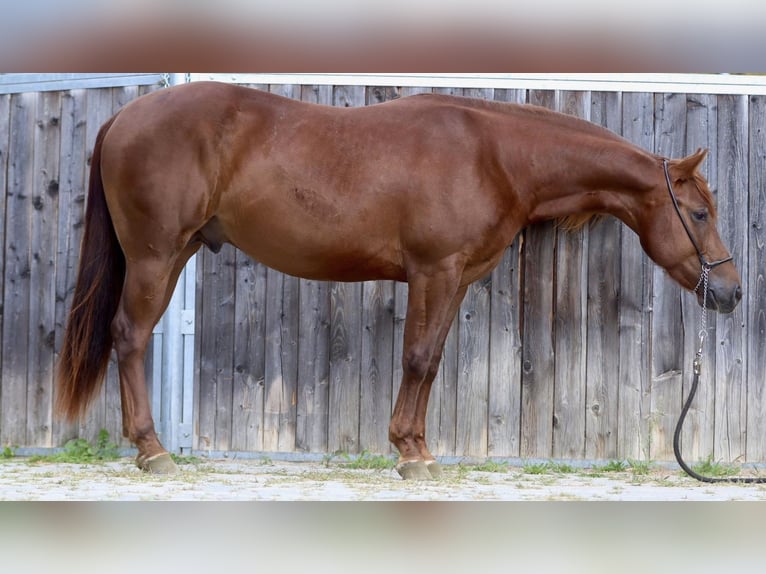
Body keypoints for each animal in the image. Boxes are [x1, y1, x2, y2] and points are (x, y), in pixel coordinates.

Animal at [55, 81, 742, 479]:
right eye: (699, 213)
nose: (731, 292)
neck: (495, 156)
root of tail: (125, 115)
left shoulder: (456, 277)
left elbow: (430, 359)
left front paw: (415, 446)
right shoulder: (433, 271)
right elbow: (414, 357)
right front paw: (413, 457)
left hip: (178, 252)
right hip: (155, 255)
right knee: (129, 336)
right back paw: (152, 451)